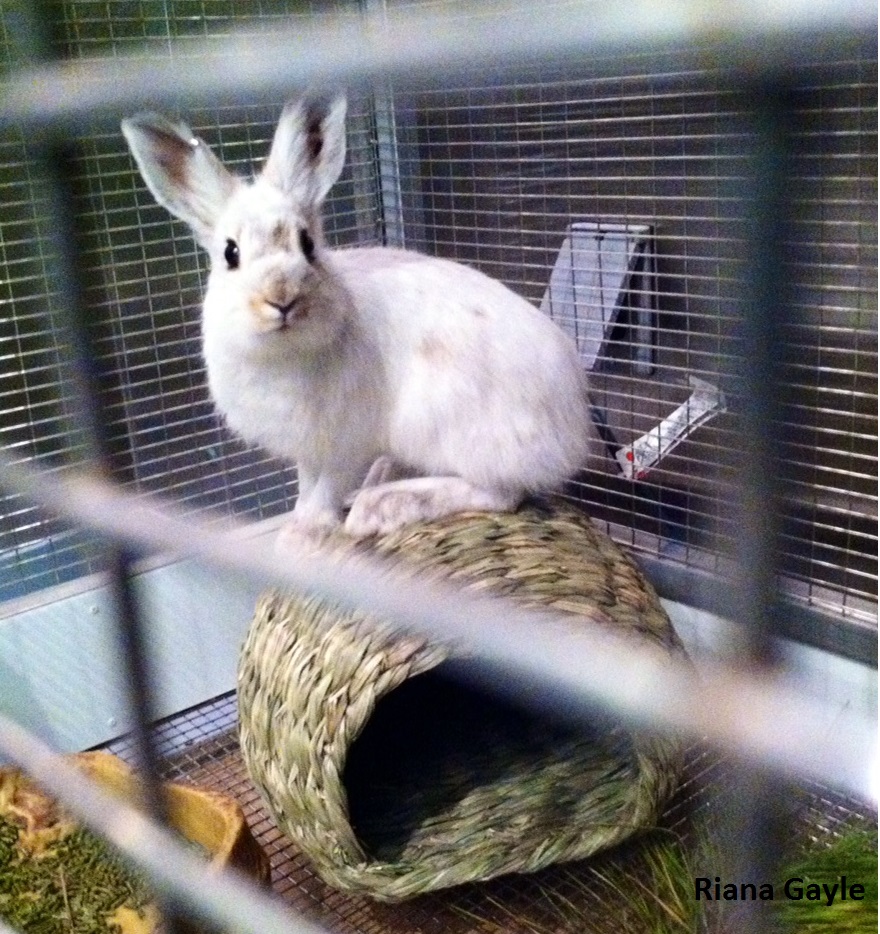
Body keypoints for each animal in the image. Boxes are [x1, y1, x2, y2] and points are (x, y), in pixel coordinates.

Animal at [121, 95, 595, 541]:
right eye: (230, 253)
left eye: (308, 244)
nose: (282, 298)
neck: (282, 352)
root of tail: (573, 427)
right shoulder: (309, 450)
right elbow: (306, 483)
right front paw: (297, 521)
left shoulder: (346, 442)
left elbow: (326, 488)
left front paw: (305, 535)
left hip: (459, 432)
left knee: (501, 494)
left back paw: (381, 506)